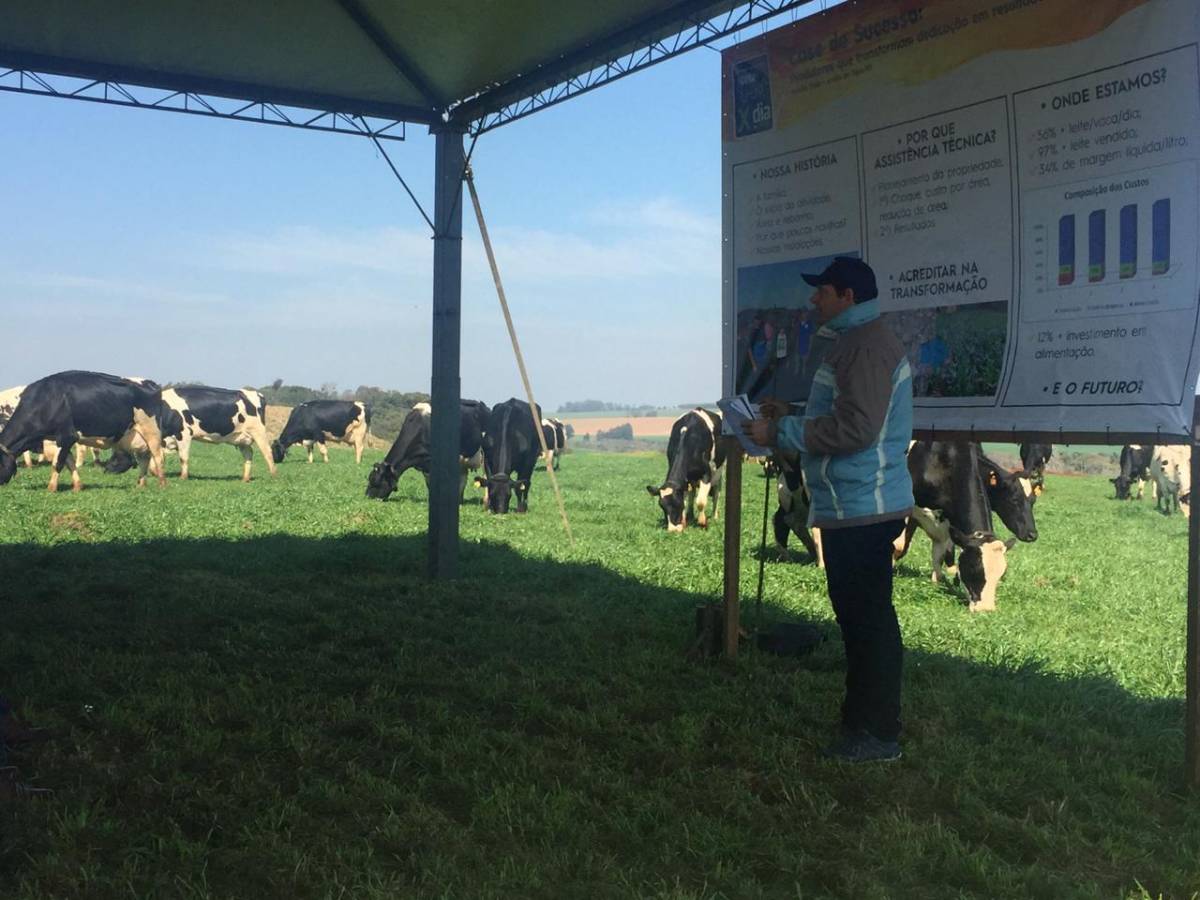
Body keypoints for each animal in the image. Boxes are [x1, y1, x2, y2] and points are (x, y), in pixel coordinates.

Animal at [0, 371, 167, 492]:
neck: (47, 400)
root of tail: (150, 382)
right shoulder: (61, 439)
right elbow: (70, 463)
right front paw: (77, 486)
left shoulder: (67, 436)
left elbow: (57, 463)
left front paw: (51, 488)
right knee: (144, 459)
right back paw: (141, 484)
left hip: (151, 430)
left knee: (158, 457)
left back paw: (162, 484)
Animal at [895, 441, 1028, 612]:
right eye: (973, 567)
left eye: (1001, 574)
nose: (986, 610)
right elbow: (898, 546)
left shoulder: (945, 525)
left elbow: (939, 558)